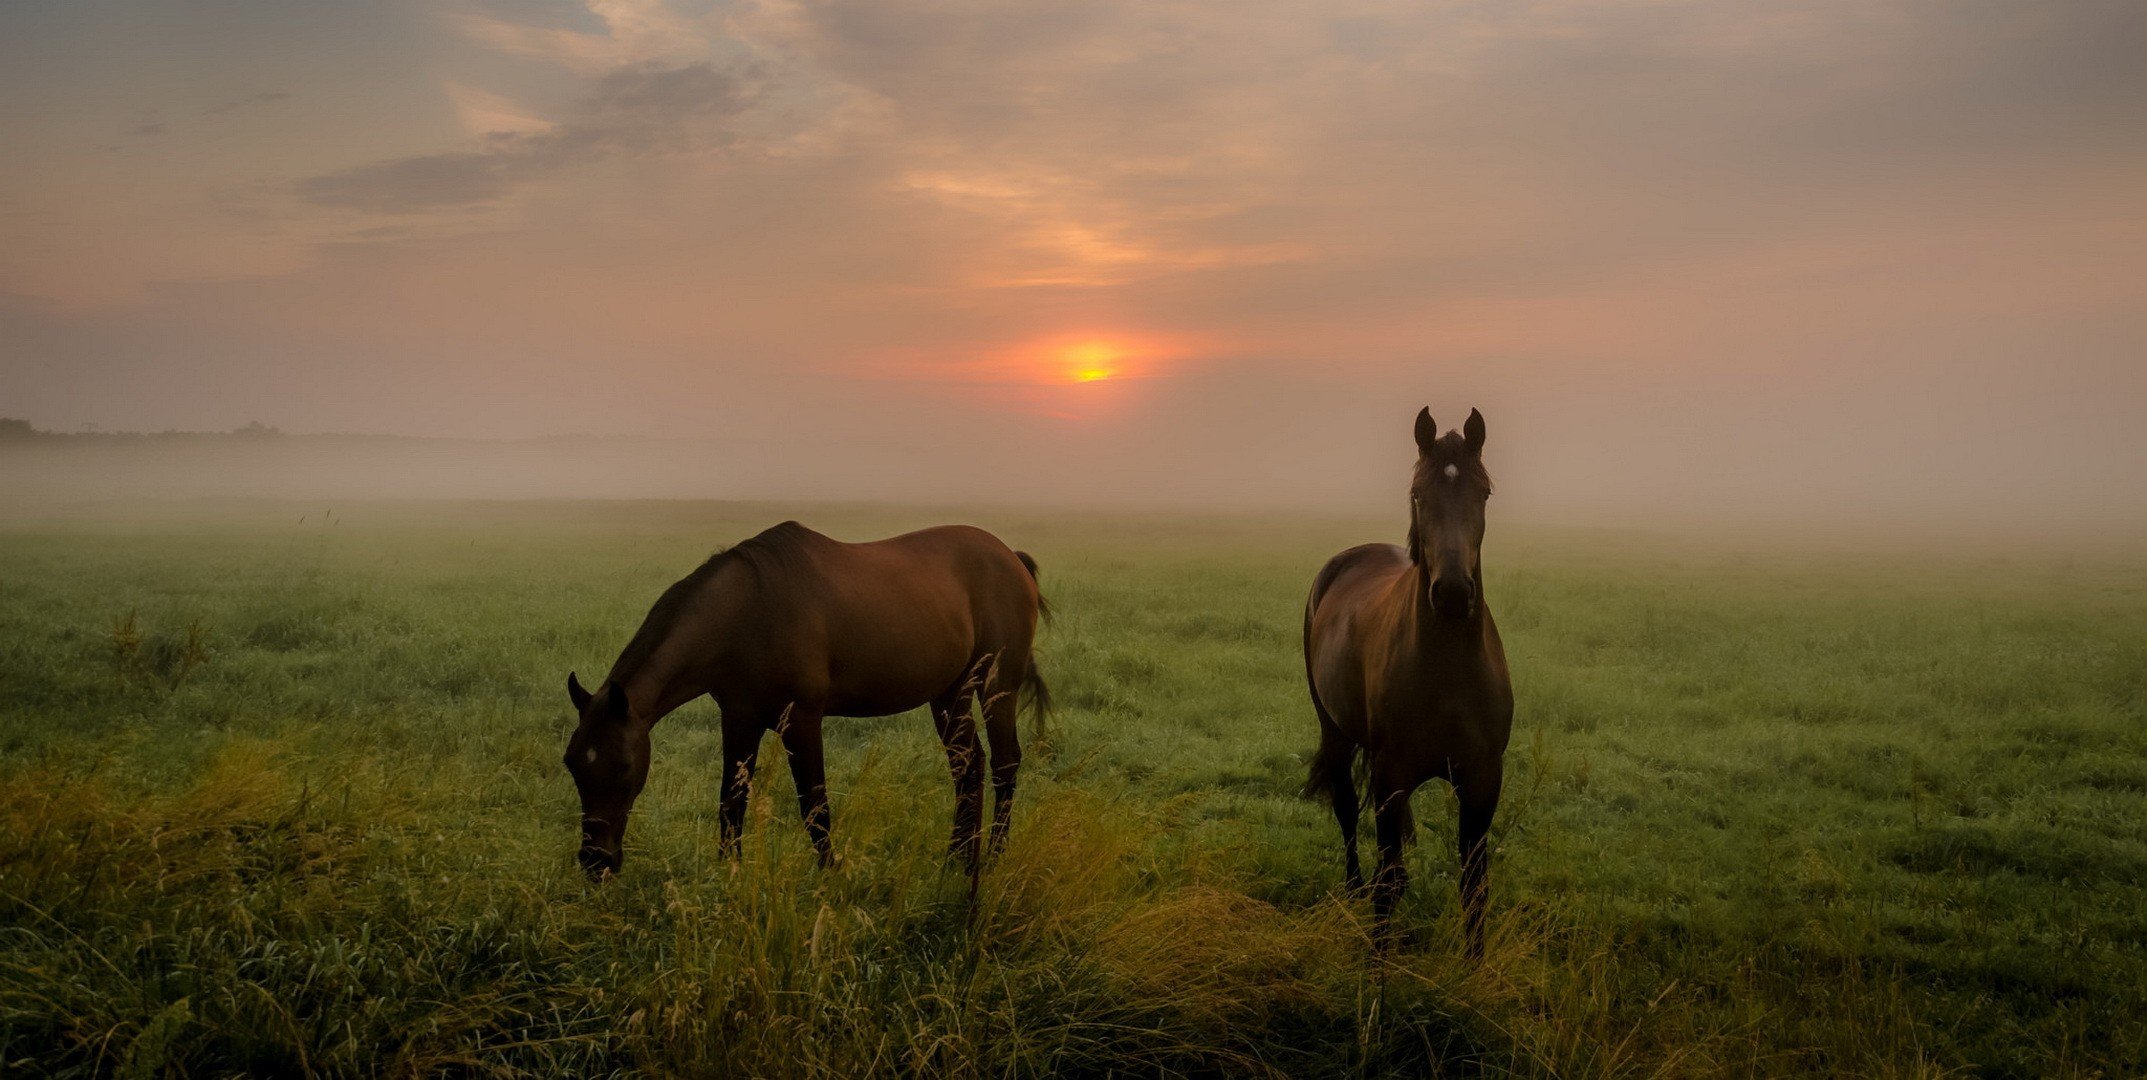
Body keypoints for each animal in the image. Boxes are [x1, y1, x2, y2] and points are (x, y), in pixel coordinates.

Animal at [562, 519, 1047, 884]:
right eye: (572, 763)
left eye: (624, 766)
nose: (596, 862)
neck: (747, 613)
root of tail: (1011, 557)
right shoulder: (739, 719)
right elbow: (731, 802)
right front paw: (728, 876)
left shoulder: (802, 721)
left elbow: (814, 806)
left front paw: (831, 877)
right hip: (949, 693)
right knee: (968, 766)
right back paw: (957, 859)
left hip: (996, 686)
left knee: (1004, 762)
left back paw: (991, 858)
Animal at [1296, 407, 1520, 953]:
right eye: (1419, 493)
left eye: (1484, 492)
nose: (1454, 592)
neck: (1447, 670)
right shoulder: (1391, 775)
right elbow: (1388, 882)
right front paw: (1378, 965)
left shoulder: (1483, 778)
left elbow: (1474, 885)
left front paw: (1474, 965)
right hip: (1336, 733)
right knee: (1347, 813)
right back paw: (1352, 892)